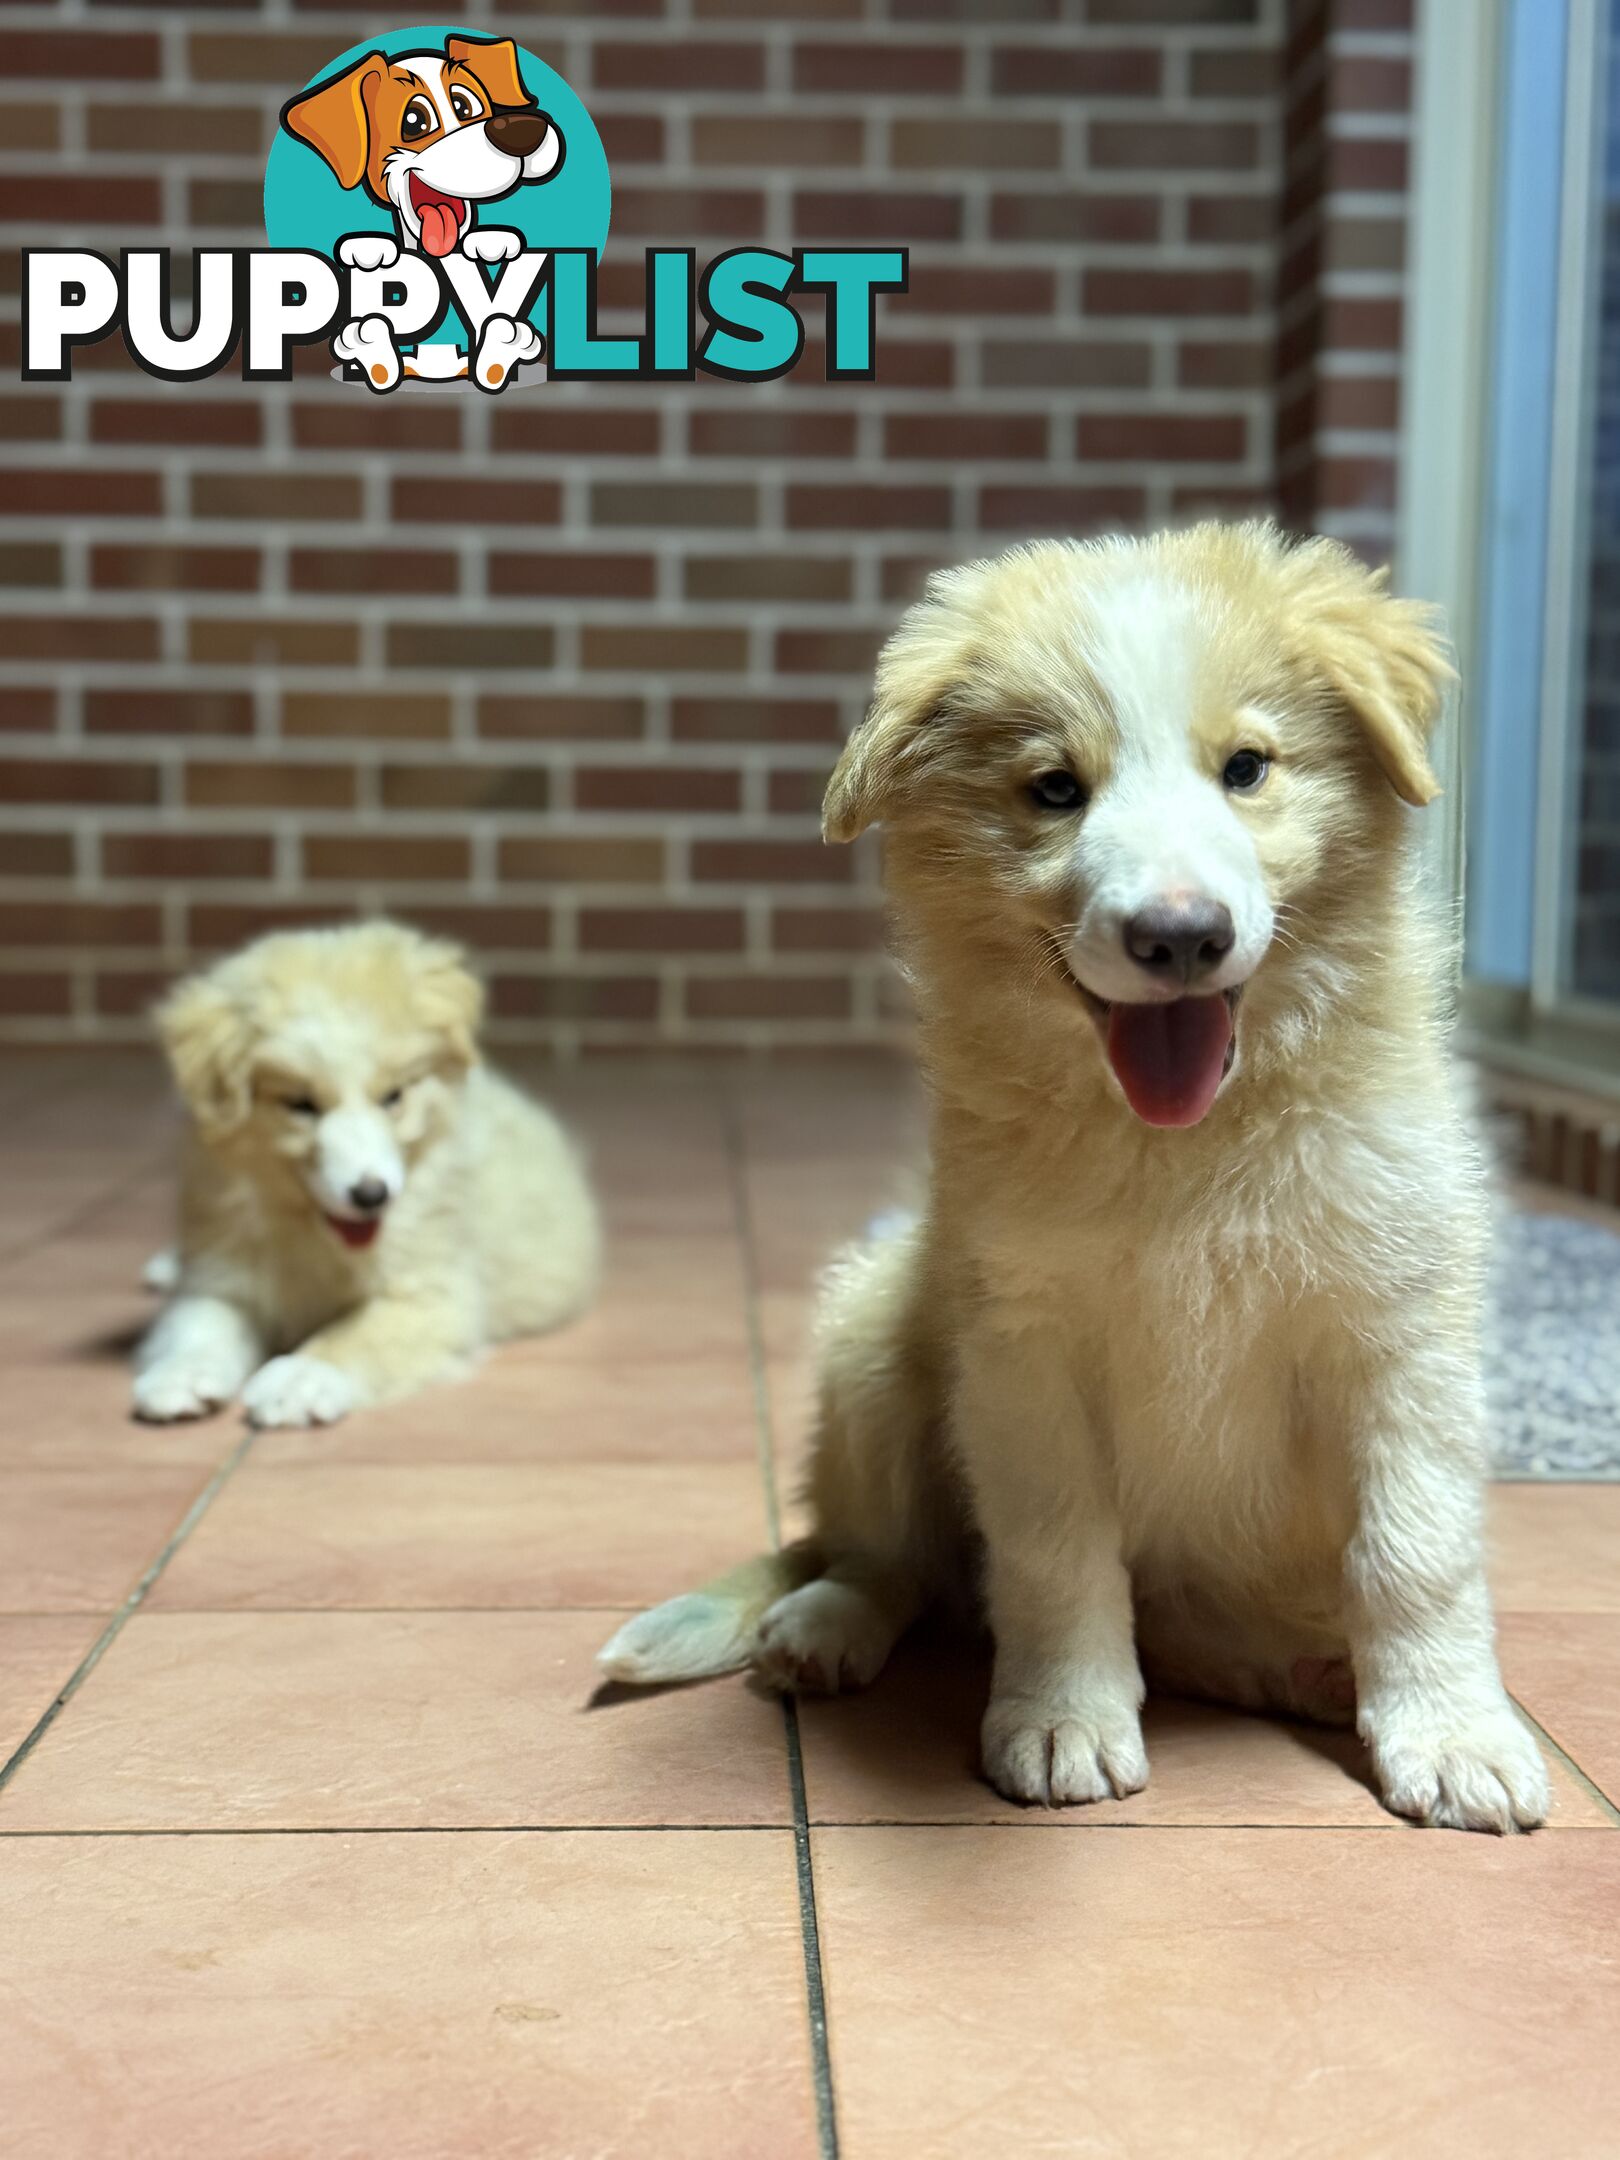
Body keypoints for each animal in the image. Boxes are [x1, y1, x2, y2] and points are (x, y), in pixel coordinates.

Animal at [133, 915, 600, 1434]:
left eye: (393, 1096)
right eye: (301, 1105)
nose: (372, 1195)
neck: (317, 1239)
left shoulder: (433, 1296)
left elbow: (357, 1335)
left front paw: (299, 1378)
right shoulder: (222, 1272)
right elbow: (197, 1325)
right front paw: (179, 1375)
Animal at [604, 522, 1555, 1840]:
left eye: (1247, 768)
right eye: (1056, 788)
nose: (1182, 936)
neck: (1185, 1147)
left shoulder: (1400, 1338)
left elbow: (1417, 1553)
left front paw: (1456, 1736)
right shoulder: (1023, 1347)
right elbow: (1053, 1554)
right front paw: (1061, 1721)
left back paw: (1305, 1668)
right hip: (876, 1343)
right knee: (891, 1559)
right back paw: (823, 1627)